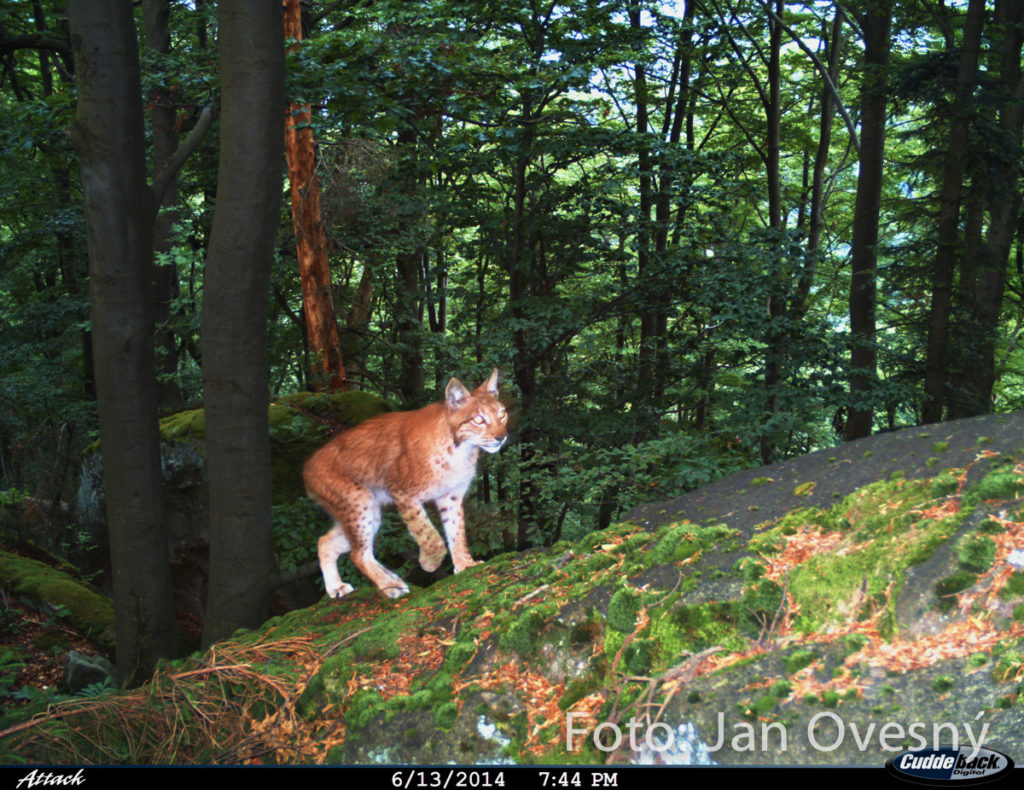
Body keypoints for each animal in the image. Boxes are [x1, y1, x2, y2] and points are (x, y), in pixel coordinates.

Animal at [303, 368, 508, 599]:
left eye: (502, 414)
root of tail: (308, 464)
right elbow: (430, 535)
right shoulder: (403, 492)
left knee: (324, 541)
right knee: (358, 554)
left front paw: (465, 565)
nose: (501, 437)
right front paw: (429, 564)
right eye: (479, 419)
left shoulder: (451, 495)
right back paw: (390, 584)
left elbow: (457, 531)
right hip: (358, 501)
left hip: (369, 511)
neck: (461, 449)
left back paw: (339, 586)